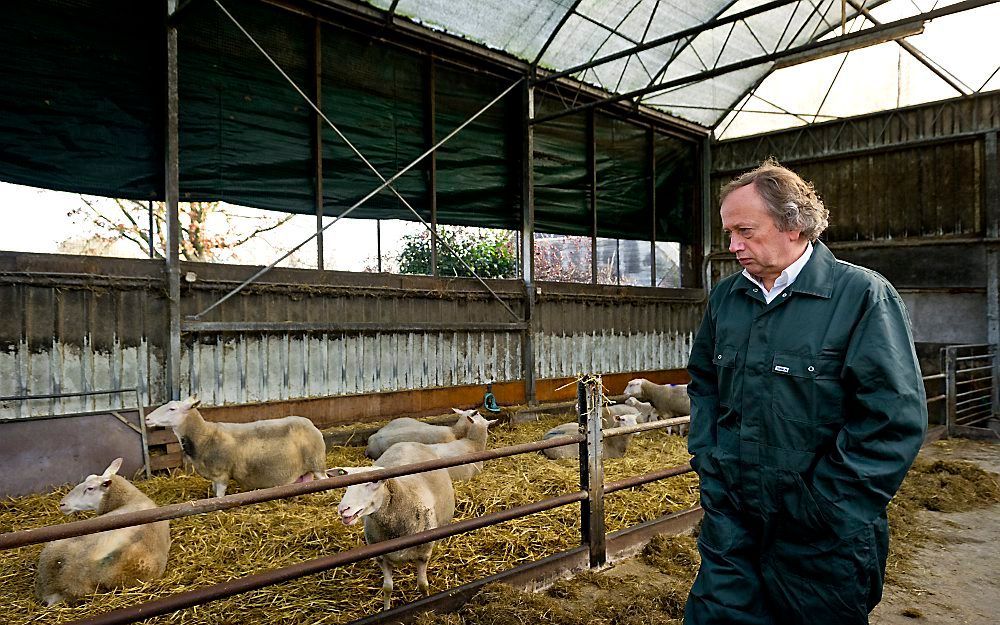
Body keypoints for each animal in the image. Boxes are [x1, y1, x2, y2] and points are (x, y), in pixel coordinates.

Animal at [143, 394, 324, 498]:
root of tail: (310, 424)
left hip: (317, 463)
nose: (147, 419)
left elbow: (220, 498)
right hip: (305, 471)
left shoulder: (222, 474)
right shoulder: (214, 476)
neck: (205, 435)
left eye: (172, 409)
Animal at [334, 442, 456, 612]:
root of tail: (410, 442)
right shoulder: (380, 557)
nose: (343, 509)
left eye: (374, 482)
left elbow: (423, 585)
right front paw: (386, 609)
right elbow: (387, 588)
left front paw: (427, 605)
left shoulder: (423, 555)